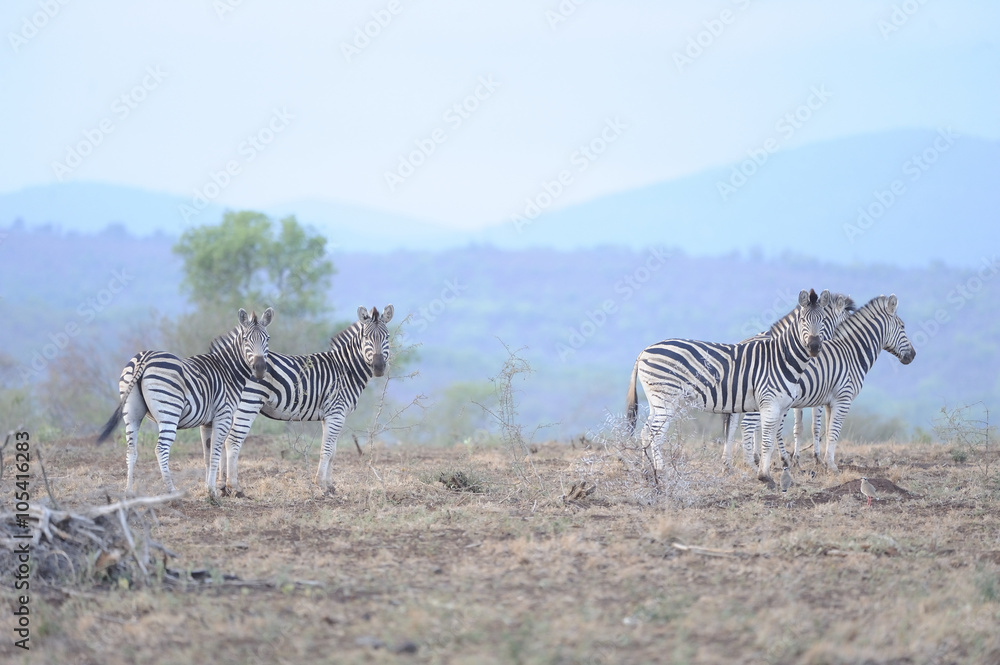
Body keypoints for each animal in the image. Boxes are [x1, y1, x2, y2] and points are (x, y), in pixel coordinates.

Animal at [96, 308, 273, 497]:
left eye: (267, 339)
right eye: (246, 339)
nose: (260, 368)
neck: (228, 371)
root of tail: (144, 358)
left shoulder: (207, 423)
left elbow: (207, 456)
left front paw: (208, 489)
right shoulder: (223, 417)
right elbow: (215, 454)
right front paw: (213, 492)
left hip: (131, 412)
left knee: (131, 450)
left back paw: (129, 492)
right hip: (169, 412)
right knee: (161, 449)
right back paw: (172, 492)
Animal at [209, 304, 393, 496]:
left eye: (387, 337)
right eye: (366, 337)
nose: (379, 366)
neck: (346, 369)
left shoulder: (331, 415)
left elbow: (333, 451)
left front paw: (330, 486)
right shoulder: (336, 412)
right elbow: (327, 449)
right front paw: (321, 485)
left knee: (223, 441)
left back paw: (222, 486)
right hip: (248, 403)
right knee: (232, 441)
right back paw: (235, 487)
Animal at [625, 289, 832, 485]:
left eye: (823, 320)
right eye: (803, 320)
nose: (814, 347)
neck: (781, 357)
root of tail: (644, 351)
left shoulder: (781, 406)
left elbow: (771, 439)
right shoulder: (768, 402)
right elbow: (766, 440)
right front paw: (764, 476)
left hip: (656, 402)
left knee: (645, 432)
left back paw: (647, 471)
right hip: (666, 398)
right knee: (655, 434)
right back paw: (661, 472)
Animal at [720, 292, 857, 467]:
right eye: (848, 320)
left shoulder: (799, 396)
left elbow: (798, 427)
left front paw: (795, 458)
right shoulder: (816, 393)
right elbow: (815, 425)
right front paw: (815, 457)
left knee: (733, 426)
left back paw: (731, 461)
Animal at [736, 295, 915, 471]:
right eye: (903, 326)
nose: (913, 355)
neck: (851, 351)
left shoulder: (825, 400)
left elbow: (824, 431)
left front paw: (812, 460)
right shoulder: (841, 399)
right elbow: (829, 430)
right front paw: (827, 463)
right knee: (748, 426)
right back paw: (753, 464)